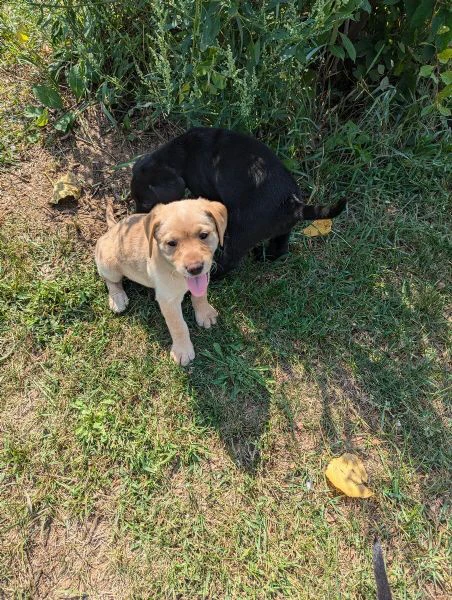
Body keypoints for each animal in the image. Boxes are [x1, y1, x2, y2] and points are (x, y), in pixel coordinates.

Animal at [96, 199, 228, 364]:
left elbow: (200, 296)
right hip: (109, 265)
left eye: (203, 235)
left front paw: (204, 313)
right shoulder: (168, 301)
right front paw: (182, 350)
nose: (195, 268)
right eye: (171, 243)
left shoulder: (204, 276)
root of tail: (112, 229)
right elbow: (178, 325)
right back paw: (117, 298)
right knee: (111, 281)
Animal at [131, 129, 346, 278]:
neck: (182, 152)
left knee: (230, 261)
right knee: (279, 249)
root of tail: (293, 205)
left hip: (239, 233)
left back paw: (213, 276)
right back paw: (263, 256)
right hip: (283, 231)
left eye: (146, 202)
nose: (138, 219)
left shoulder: (204, 189)